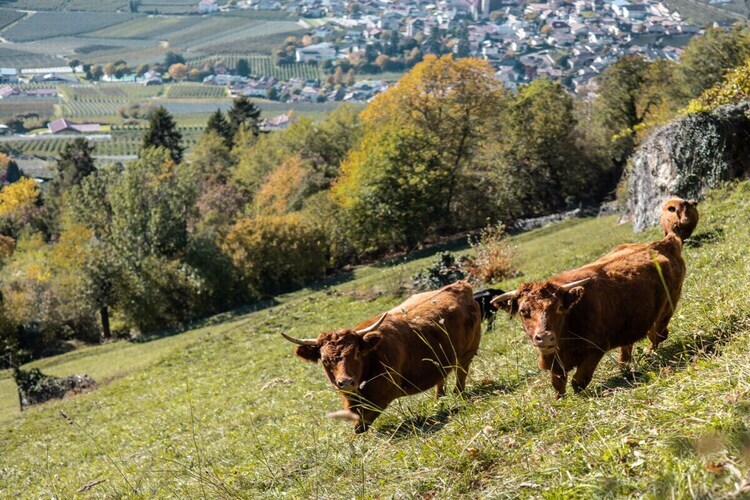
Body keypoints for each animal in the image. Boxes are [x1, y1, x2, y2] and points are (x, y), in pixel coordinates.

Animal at [280, 281, 482, 433]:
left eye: (356, 353)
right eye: (324, 360)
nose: (346, 382)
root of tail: (459, 285)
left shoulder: (384, 394)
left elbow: (361, 425)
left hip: (467, 353)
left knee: (461, 374)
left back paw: (458, 395)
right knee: (441, 378)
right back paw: (438, 400)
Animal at [490, 199, 696, 396]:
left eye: (559, 307)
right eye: (523, 311)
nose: (546, 337)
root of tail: (663, 244)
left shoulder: (595, 349)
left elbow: (578, 381)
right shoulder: (555, 363)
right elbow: (558, 386)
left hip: (666, 310)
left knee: (657, 335)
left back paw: (647, 354)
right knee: (630, 345)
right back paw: (624, 366)